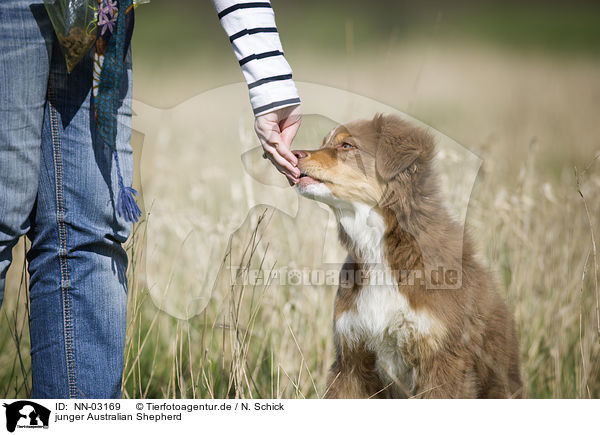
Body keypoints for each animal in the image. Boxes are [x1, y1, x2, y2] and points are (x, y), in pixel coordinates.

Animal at [292, 115, 524, 398]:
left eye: (347, 145)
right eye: (324, 142)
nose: (294, 153)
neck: (382, 250)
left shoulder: (443, 361)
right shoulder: (351, 360)